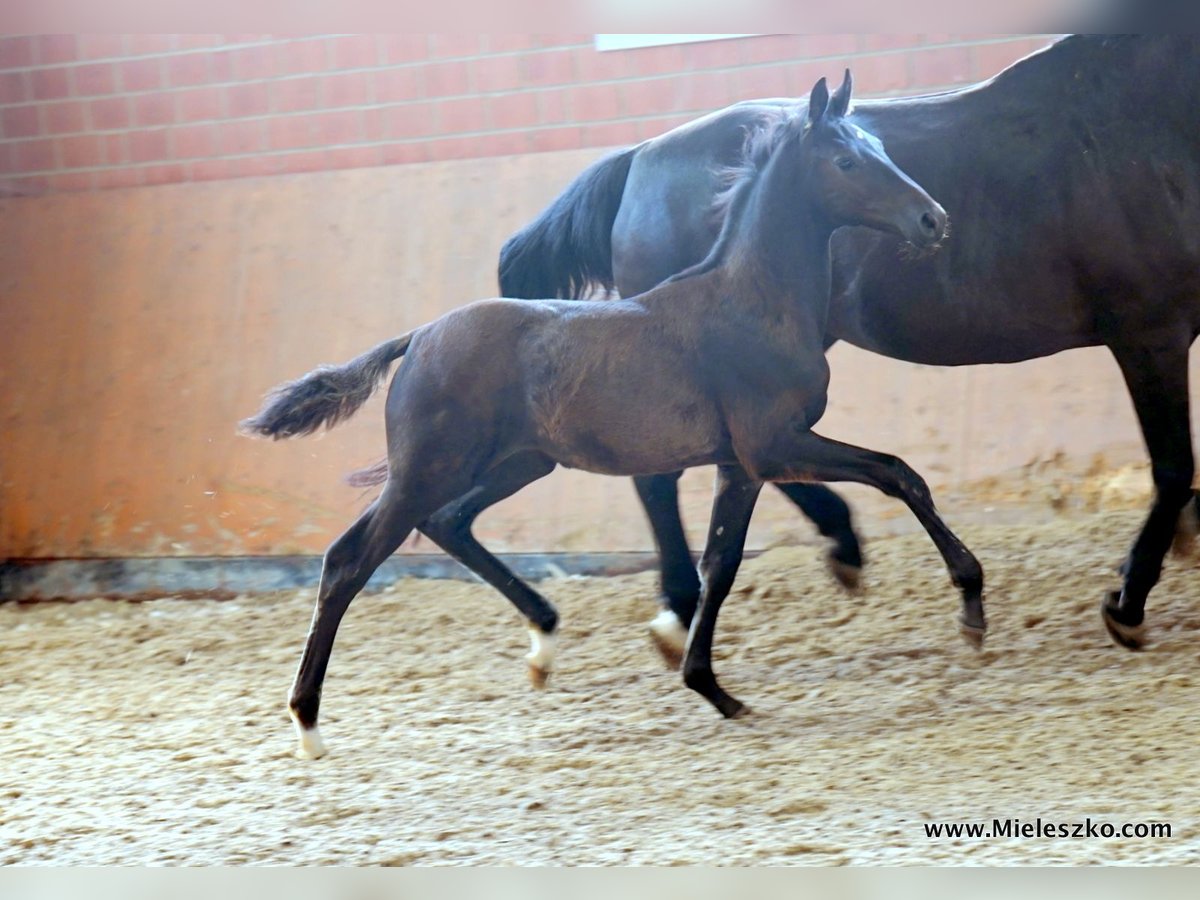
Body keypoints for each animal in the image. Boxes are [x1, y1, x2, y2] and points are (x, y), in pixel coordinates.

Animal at [243, 75, 974, 763]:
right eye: (846, 160)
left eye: (880, 146)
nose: (933, 219)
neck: (749, 300)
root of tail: (418, 336)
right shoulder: (776, 446)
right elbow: (899, 474)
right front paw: (971, 604)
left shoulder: (740, 463)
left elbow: (722, 562)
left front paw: (712, 688)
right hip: (430, 468)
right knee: (348, 560)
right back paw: (308, 724)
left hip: (515, 464)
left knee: (445, 524)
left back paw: (543, 641)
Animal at [499, 35, 1200, 657]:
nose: (933, 219)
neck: (1152, 123)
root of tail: (639, 156)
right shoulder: (1150, 336)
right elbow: (1172, 469)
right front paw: (1128, 603)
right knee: (664, 473)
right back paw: (681, 610)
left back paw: (838, 545)